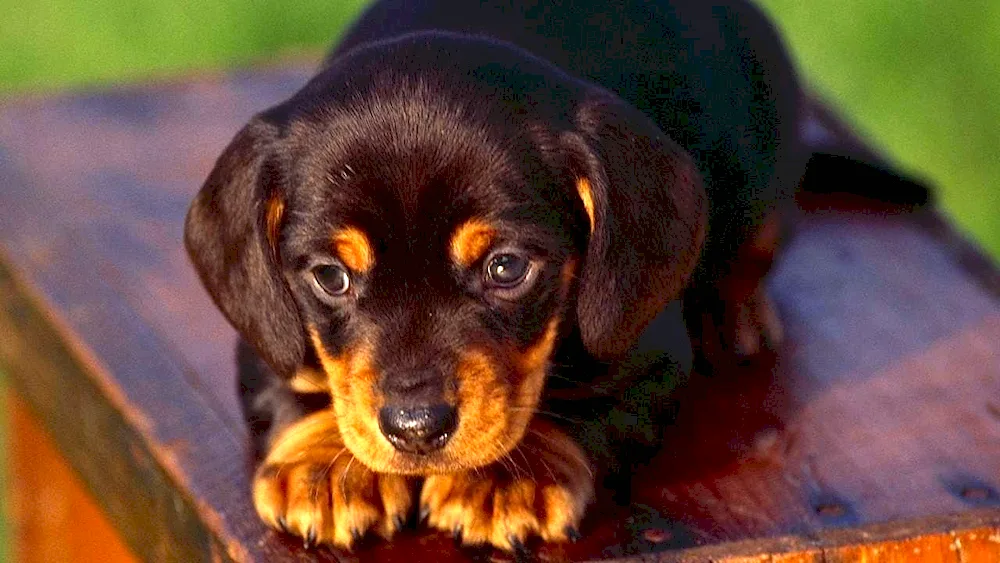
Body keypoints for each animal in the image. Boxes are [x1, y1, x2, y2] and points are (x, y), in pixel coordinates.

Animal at [186, 0, 812, 556]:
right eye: (331, 277)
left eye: (506, 268)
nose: (416, 428)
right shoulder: (266, 326)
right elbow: (289, 379)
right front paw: (325, 466)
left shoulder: (643, 348)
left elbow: (589, 401)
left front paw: (508, 477)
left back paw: (735, 314)